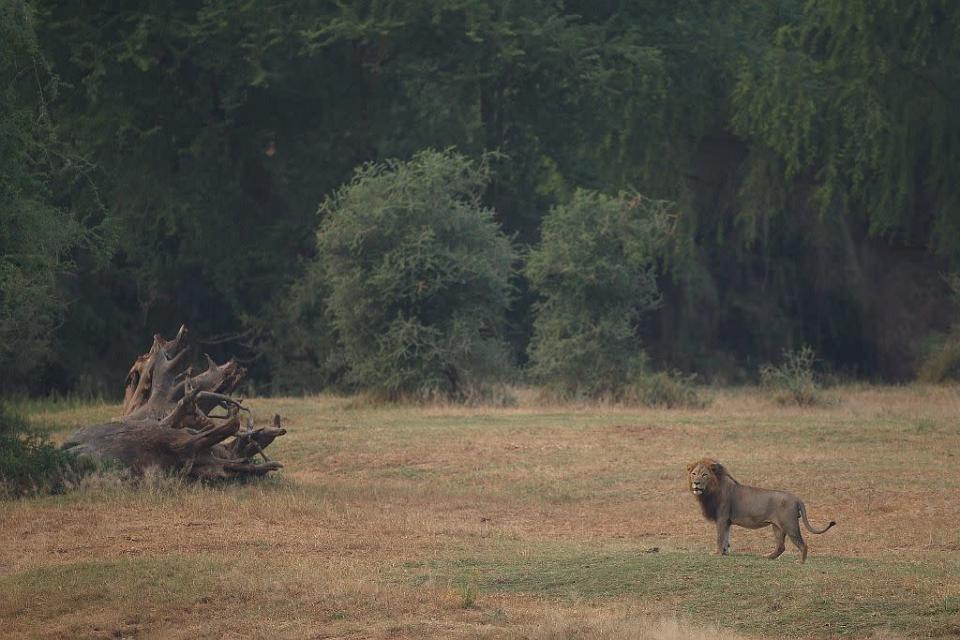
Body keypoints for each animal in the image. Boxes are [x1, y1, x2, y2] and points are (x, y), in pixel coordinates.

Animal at [688, 458, 836, 564]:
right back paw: (768, 557)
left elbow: (720, 538)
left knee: (802, 544)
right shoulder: (727, 521)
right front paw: (725, 553)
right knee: (781, 546)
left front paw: (717, 553)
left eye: (704, 475)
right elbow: (726, 538)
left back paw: (800, 562)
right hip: (777, 526)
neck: (711, 490)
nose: (696, 483)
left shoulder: (722, 519)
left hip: (790, 524)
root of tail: (797, 498)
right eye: (694, 474)